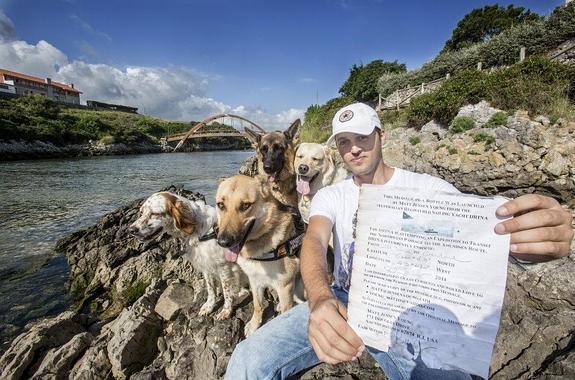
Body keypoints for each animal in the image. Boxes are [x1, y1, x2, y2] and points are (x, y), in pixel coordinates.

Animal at [129, 191, 249, 320]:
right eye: (141, 212)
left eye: (155, 213)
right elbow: (210, 289)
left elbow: (227, 292)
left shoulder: (224, 267)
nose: (131, 229)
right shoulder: (206, 266)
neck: (201, 231)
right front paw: (208, 306)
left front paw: (226, 311)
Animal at [216, 174, 306, 336]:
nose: (223, 242)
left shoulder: (285, 286)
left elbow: (285, 313)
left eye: (245, 205)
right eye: (221, 205)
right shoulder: (255, 279)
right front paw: (254, 324)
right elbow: (258, 305)